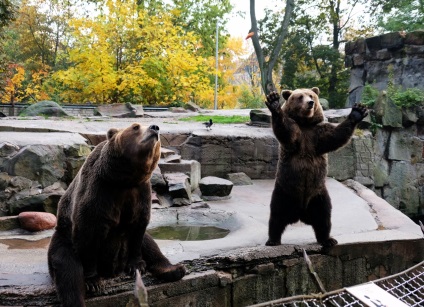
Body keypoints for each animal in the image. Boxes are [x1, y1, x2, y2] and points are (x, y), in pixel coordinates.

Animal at [47, 123, 185, 307]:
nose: (155, 127)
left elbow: (139, 229)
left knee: (151, 246)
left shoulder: (140, 192)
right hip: (63, 240)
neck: (124, 179)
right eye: (135, 127)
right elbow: (88, 232)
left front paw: (136, 266)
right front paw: (93, 281)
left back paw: (176, 269)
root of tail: (113, 271)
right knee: (68, 273)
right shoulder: (100, 190)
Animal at [264, 87, 368, 248]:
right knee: (277, 215)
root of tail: (300, 213)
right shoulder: (297, 133)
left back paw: (328, 239)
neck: (305, 123)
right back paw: (273, 240)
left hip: (318, 193)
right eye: (300, 97)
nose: (310, 103)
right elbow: (285, 131)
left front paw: (358, 111)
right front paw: (274, 102)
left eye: (311, 95)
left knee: (323, 216)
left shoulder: (317, 134)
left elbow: (335, 136)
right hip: (284, 190)